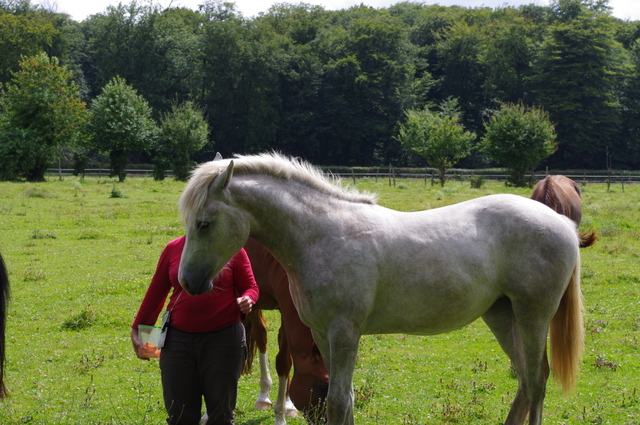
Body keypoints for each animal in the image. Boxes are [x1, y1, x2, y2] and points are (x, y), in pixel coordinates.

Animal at [241, 238, 328, 424]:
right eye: (323, 386)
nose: (327, 419)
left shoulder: (286, 308)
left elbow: (284, 362)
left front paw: (281, 413)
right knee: (261, 336)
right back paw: (263, 397)